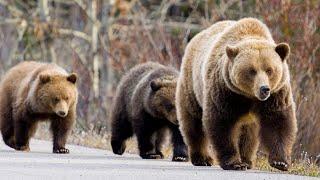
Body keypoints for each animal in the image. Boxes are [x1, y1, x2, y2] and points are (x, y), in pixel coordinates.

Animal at [176, 17, 296, 171]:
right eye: (252, 70)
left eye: (269, 70)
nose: (264, 89)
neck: (249, 96)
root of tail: (194, 39)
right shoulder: (225, 91)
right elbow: (222, 123)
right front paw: (234, 163)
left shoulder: (277, 94)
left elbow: (278, 121)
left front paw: (280, 162)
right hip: (192, 86)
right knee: (193, 123)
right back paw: (203, 159)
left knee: (249, 133)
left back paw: (247, 160)